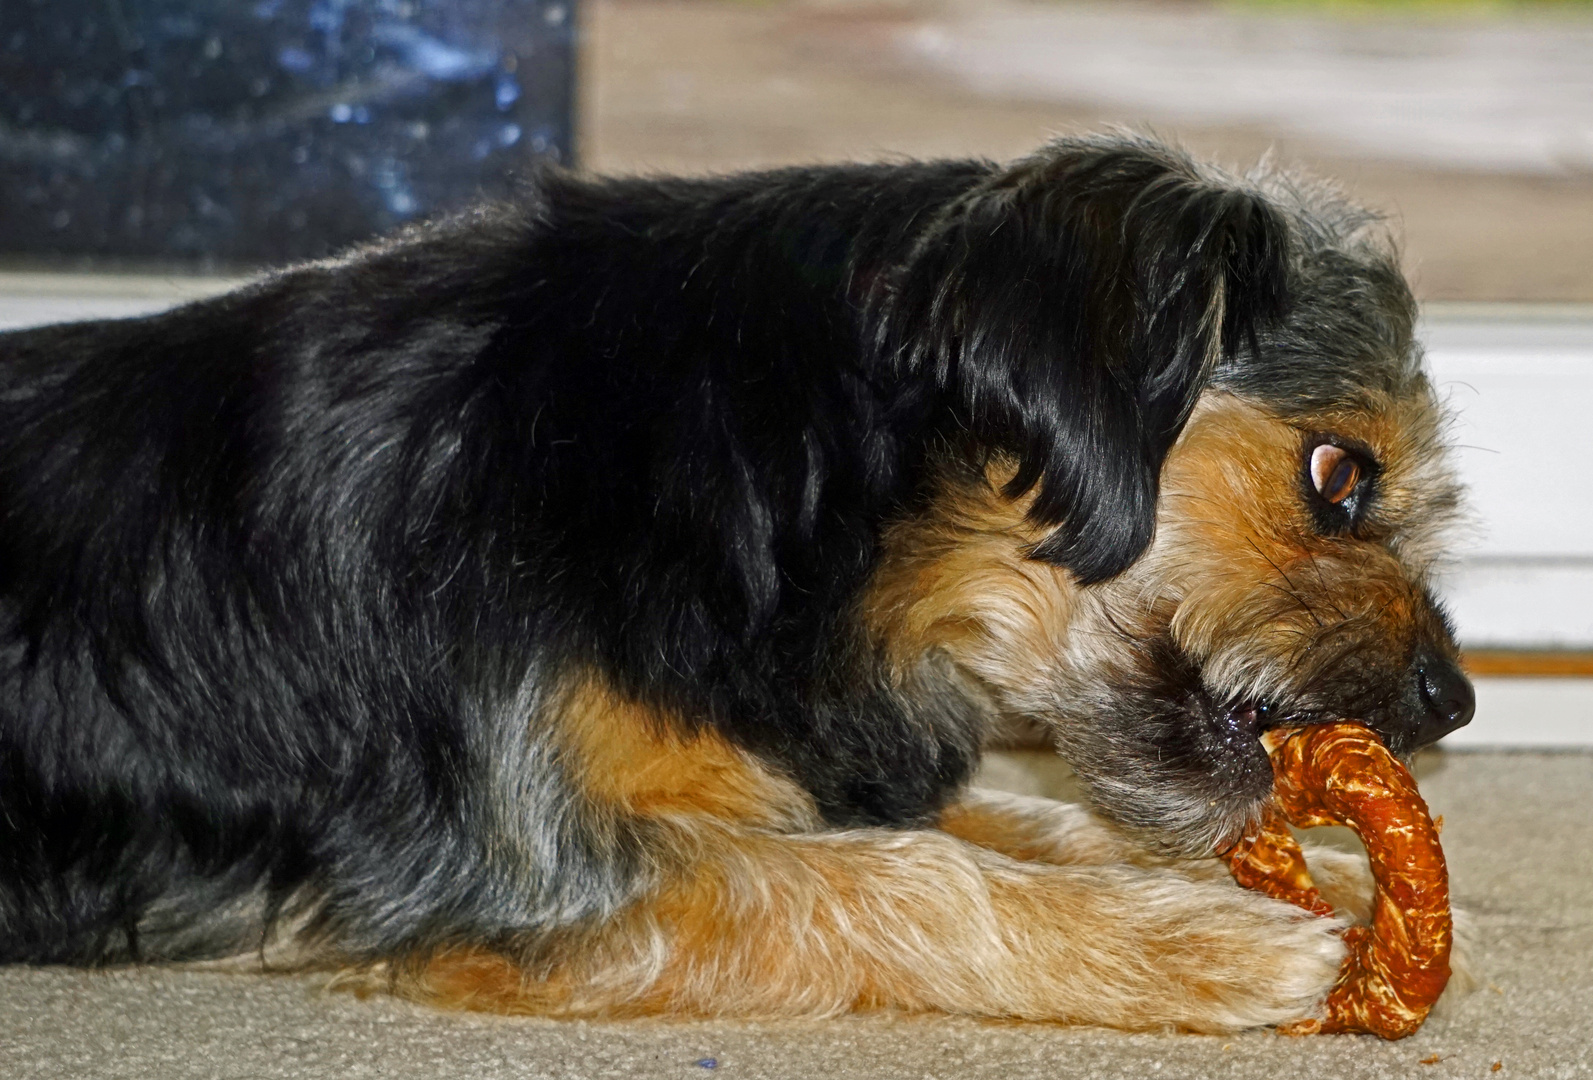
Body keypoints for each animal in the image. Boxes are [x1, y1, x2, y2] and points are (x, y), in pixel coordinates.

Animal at [0, 135, 1478, 1032]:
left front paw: (1312, 888)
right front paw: (1212, 944)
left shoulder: (802, 751)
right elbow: (909, 882)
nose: (1452, 700)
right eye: (1338, 472)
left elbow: (1017, 818)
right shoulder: (522, 873)